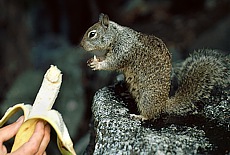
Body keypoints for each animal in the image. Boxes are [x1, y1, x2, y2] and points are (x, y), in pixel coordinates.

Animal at [80, 13, 229, 120]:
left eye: (92, 34)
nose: (81, 45)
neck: (117, 35)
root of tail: (163, 105)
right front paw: (94, 60)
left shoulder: (123, 51)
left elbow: (112, 64)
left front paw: (97, 64)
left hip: (148, 98)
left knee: (151, 115)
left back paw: (140, 116)